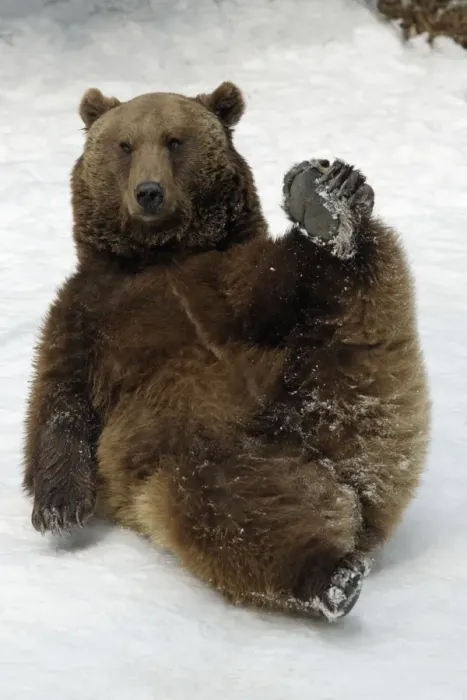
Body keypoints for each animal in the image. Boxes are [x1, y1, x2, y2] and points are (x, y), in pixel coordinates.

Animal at [23, 81, 430, 622]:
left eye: (175, 140)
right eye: (124, 144)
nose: (148, 192)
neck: (160, 255)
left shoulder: (223, 281)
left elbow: (267, 289)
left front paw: (328, 206)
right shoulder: (88, 312)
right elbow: (59, 395)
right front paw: (59, 506)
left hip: (330, 371)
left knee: (350, 282)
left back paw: (334, 202)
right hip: (198, 449)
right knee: (221, 510)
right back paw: (327, 576)